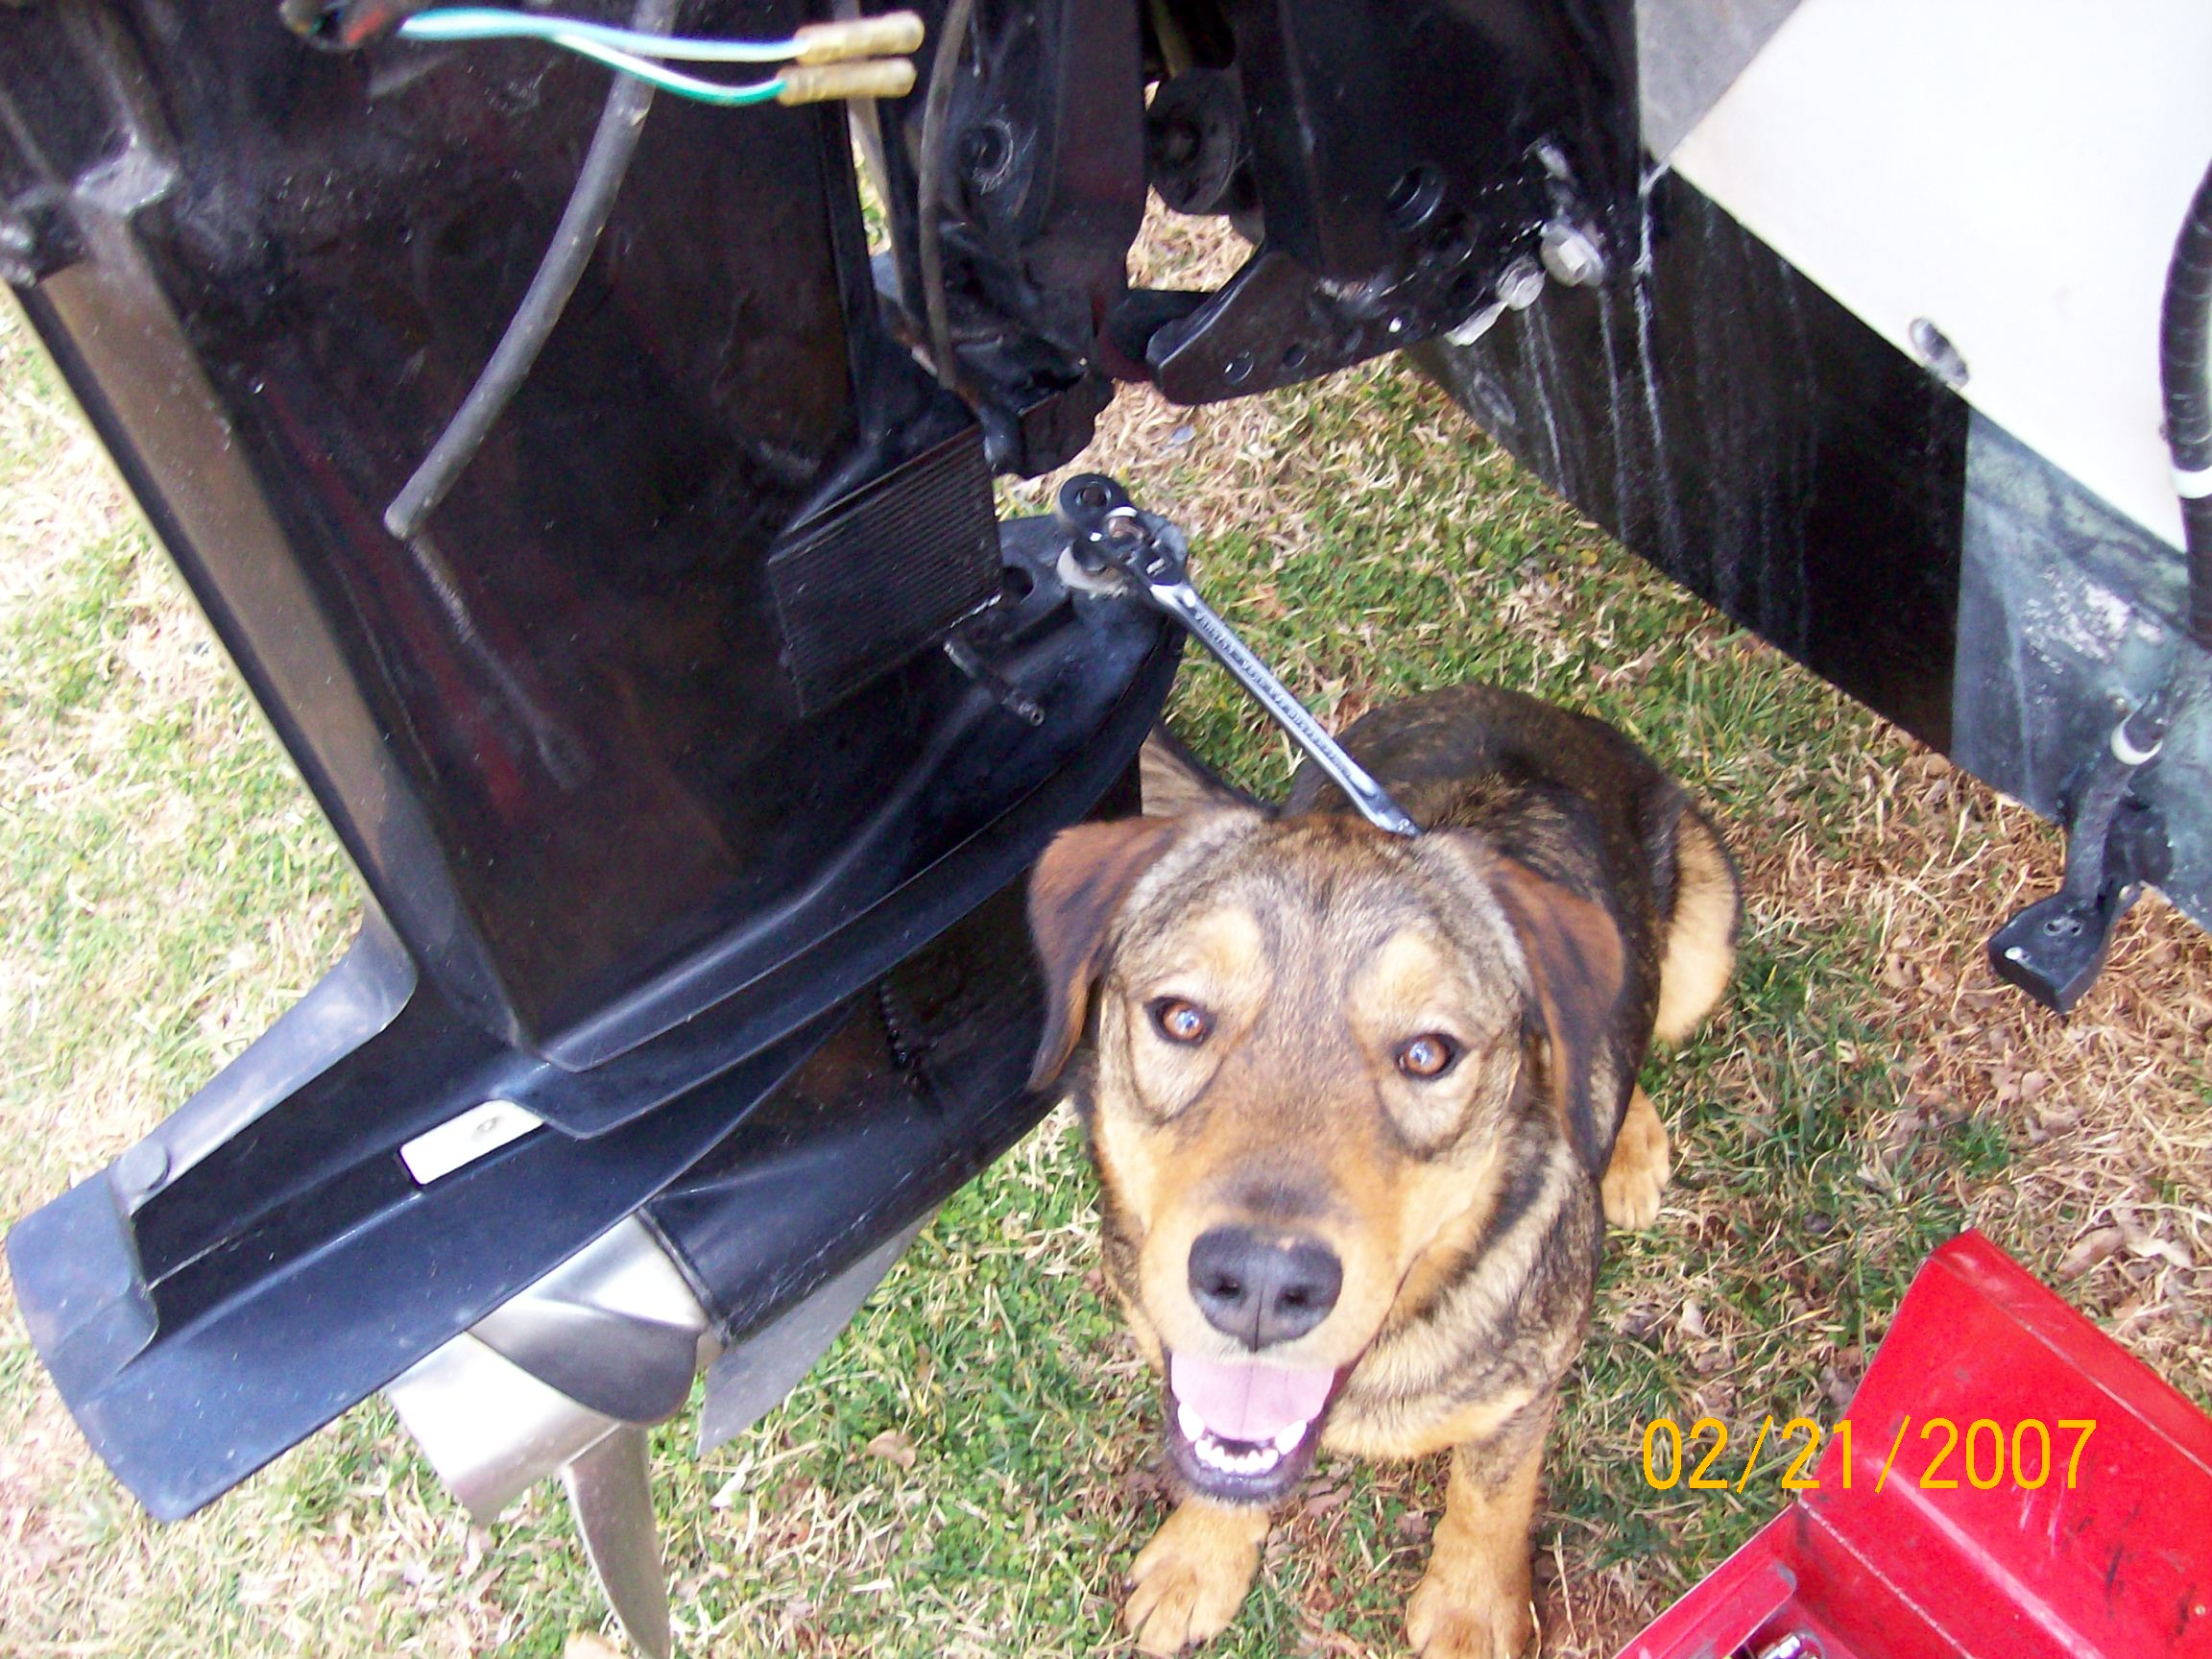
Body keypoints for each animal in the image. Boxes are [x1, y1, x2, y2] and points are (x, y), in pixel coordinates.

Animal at [1026, 685, 1734, 1659]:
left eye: (1429, 1053)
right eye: (1181, 1017)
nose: (1261, 1283)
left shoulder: (1526, 1388)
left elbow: (1492, 1496)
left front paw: (1472, 1614)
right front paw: (1200, 1560)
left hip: (1705, 937)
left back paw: (1627, 1144)